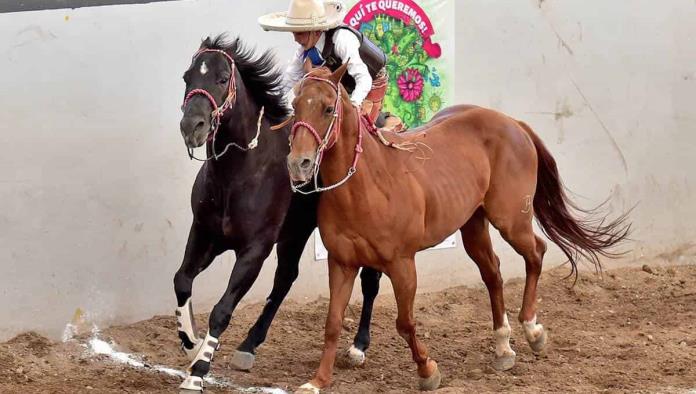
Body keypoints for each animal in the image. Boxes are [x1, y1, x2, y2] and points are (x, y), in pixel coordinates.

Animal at [174, 34, 380, 390]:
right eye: (187, 77)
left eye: (222, 78)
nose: (192, 126)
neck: (237, 173)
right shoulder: (204, 233)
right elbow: (182, 280)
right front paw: (191, 343)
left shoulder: (255, 249)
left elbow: (222, 309)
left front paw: (198, 370)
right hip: (294, 234)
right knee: (286, 278)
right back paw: (249, 345)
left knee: (369, 280)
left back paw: (358, 347)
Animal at [286, 63, 628, 392]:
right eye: (294, 105)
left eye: (328, 108)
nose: (299, 163)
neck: (366, 185)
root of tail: (513, 123)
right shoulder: (341, 263)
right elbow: (332, 322)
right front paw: (317, 381)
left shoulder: (401, 264)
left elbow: (405, 322)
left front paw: (427, 370)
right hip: (473, 225)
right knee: (493, 273)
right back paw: (503, 348)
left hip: (511, 220)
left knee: (536, 253)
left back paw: (532, 330)